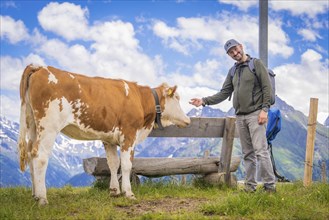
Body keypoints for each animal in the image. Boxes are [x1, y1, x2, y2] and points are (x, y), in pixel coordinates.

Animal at [18, 64, 191, 205]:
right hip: (49, 126)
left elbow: (113, 163)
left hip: (32, 125)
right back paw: (42, 198)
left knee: (31, 153)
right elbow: (127, 165)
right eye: (177, 97)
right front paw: (128, 193)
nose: (188, 120)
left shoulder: (109, 139)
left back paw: (35, 195)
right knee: (40, 156)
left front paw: (114, 191)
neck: (141, 100)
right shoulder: (129, 134)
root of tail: (40, 67)